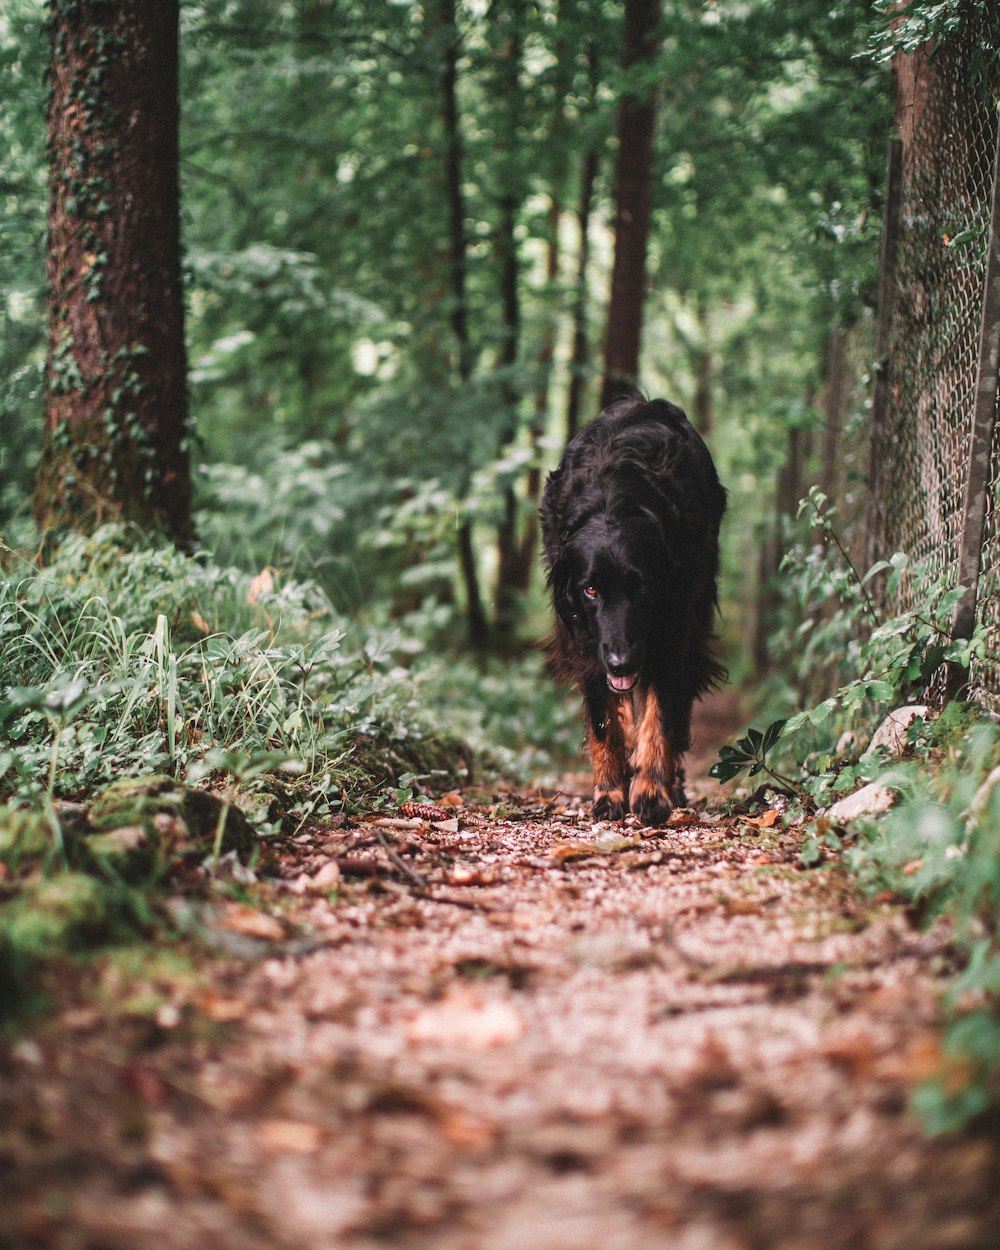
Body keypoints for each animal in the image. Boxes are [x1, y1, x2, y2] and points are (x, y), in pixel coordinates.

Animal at [540, 390, 725, 820]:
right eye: (591, 590)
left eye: (641, 587)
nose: (622, 664)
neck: (614, 498)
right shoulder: (586, 644)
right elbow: (603, 721)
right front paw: (609, 791)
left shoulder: (675, 632)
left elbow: (660, 717)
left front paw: (651, 791)